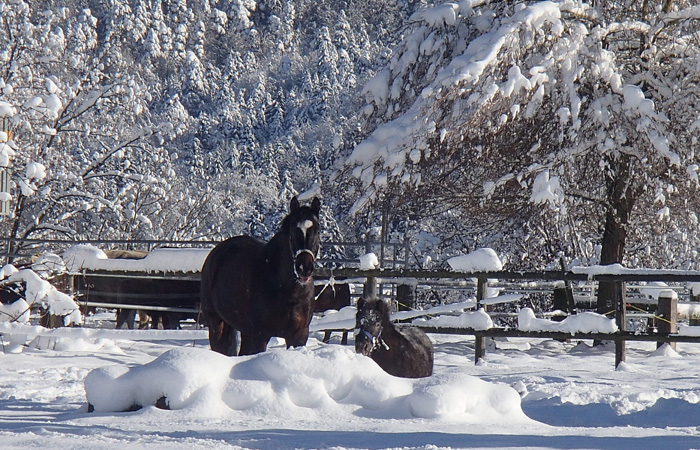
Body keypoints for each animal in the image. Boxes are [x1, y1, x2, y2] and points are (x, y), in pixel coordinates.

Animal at [201, 196, 322, 356]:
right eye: (293, 231)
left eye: (317, 230)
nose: (304, 268)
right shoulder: (260, 335)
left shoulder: (299, 335)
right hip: (216, 323)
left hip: (245, 330)